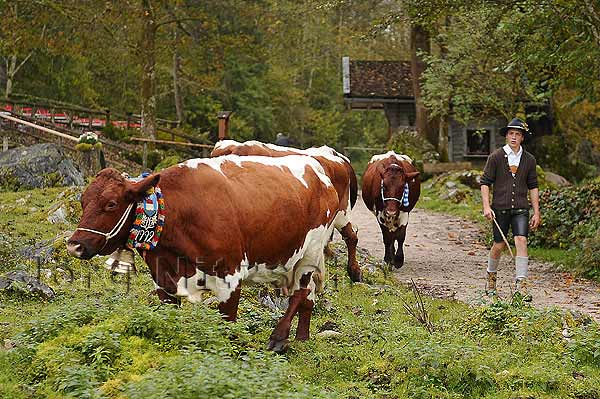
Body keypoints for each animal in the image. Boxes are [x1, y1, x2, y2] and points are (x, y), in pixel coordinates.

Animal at [66, 155, 340, 352]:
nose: (74, 245)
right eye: (83, 201)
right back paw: (302, 336)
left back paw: (279, 338)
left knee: (300, 292)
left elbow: (227, 325)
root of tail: (319, 170)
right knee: (308, 294)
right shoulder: (163, 278)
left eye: (111, 204)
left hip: (310, 253)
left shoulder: (230, 276)